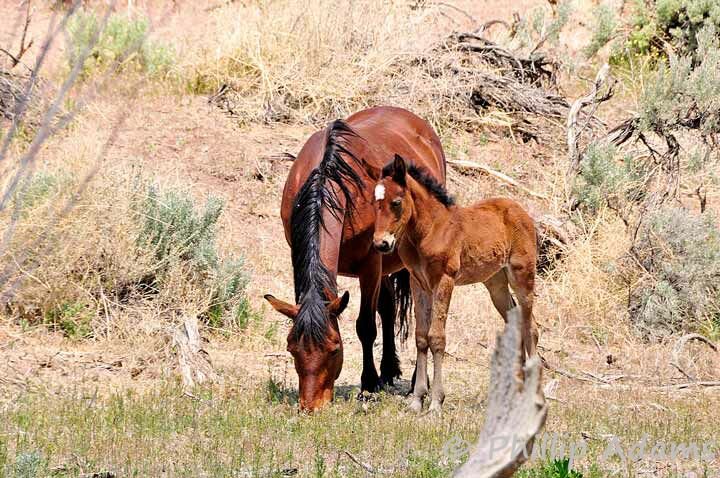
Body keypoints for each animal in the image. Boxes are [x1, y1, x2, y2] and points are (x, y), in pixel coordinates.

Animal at [262, 107, 448, 410]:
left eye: (334, 347)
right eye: (291, 348)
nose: (311, 406)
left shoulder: (370, 266)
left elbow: (365, 326)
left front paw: (368, 384)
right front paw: (377, 378)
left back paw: (413, 384)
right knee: (388, 308)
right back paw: (388, 371)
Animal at [374, 155, 536, 412]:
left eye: (396, 202)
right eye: (375, 201)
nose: (381, 243)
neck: (430, 230)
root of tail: (520, 210)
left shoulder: (444, 280)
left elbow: (437, 337)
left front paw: (436, 403)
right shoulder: (418, 283)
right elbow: (421, 337)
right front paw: (417, 400)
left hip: (523, 276)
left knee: (532, 327)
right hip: (496, 285)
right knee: (518, 321)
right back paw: (513, 390)